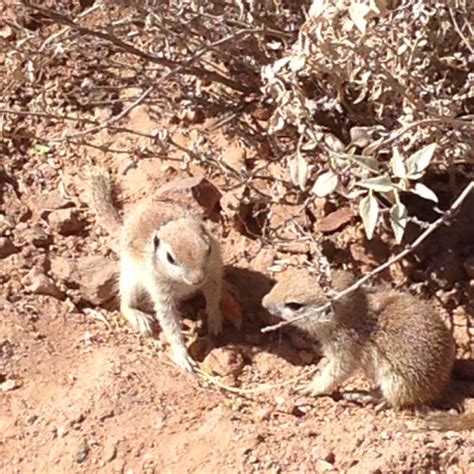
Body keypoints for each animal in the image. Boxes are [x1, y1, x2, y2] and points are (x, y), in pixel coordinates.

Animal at [87, 168, 224, 372]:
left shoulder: (214, 271)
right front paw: (182, 355)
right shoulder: (160, 289)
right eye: (170, 258)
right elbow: (169, 321)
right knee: (124, 304)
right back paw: (138, 317)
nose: (197, 280)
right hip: (130, 279)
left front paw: (215, 319)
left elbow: (214, 296)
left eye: (208, 249)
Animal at [262, 268, 458, 410]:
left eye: (294, 305)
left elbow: (336, 373)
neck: (352, 313)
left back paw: (367, 396)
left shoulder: (346, 349)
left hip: (395, 382)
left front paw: (313, 386)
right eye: (283, 279)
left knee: (394, 400)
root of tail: (443, 383)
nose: (264, 302)